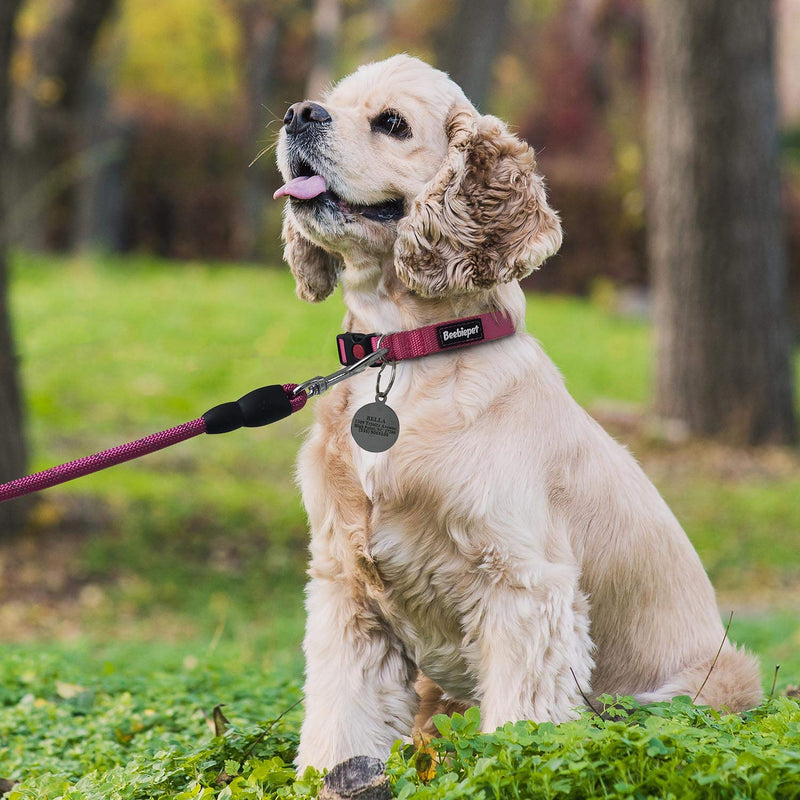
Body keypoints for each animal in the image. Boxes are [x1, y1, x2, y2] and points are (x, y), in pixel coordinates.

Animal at [276, 53, 764, 772]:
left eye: (391, 123)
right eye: (330, 100)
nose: (298, 113)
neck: (407, 351)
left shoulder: (523, 585)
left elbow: (520, 723)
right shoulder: (346, 583)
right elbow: (343, 714)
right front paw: (334, 774)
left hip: (705, 680)